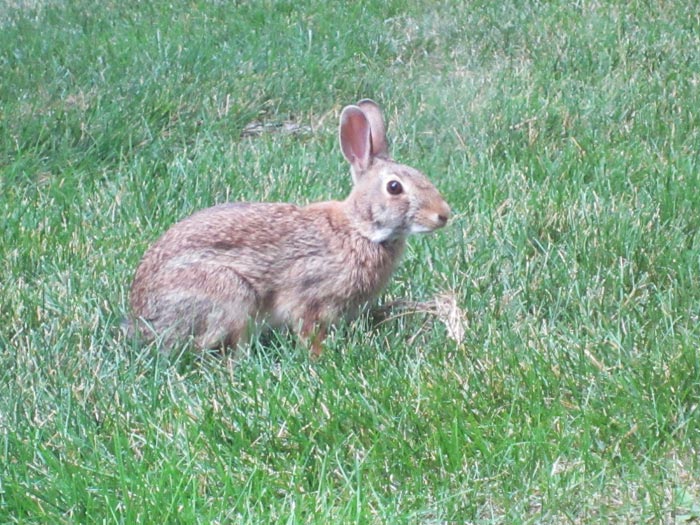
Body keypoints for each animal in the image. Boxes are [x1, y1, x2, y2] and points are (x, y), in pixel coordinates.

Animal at [129, 100, 452, 354]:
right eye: (394, 187)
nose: (444, 215)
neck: (360, 229)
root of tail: (143, 320)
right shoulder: (309, 297)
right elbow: (307, 330)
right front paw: (320, 357)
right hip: (229, 294)